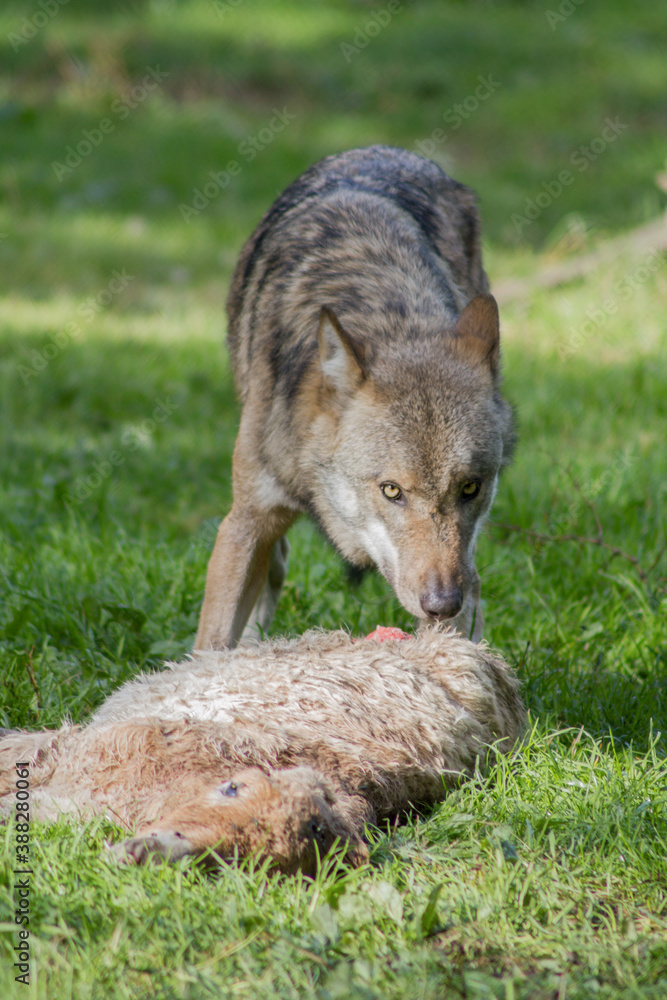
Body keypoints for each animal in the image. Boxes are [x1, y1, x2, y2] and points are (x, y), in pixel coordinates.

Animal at [195, 146, 515, 650]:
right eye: (391, 490)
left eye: (470, 488)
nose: (443, 602)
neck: (385, 311)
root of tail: (380, 149)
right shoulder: (246, 521)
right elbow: (209, 644)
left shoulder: (458, 578)